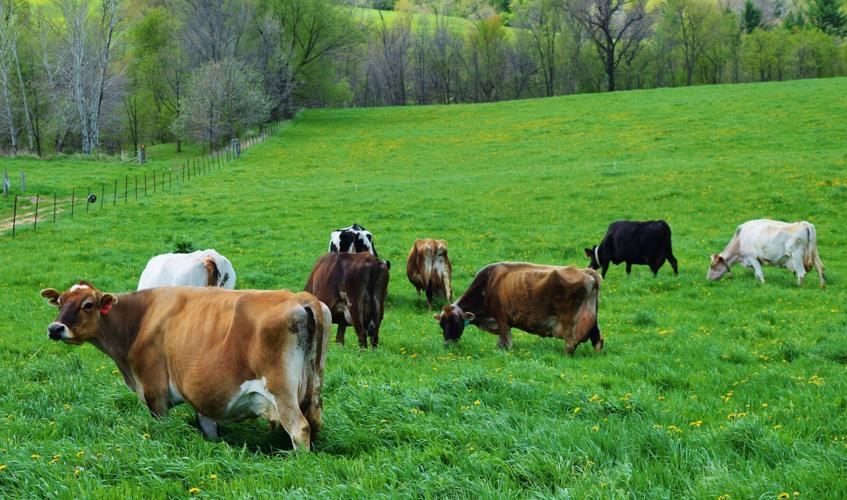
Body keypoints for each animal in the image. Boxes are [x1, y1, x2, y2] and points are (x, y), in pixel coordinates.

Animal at [40, 281, 330, 451]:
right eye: (60, 302)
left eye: (88, 304)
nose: (55, 328)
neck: (141, 319)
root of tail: (302, 298)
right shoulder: (204, 396)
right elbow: (209, 427)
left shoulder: (154, 392)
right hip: (314, 386)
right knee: (314, 422)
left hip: (281, 391)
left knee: (299, 428)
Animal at [434, 262, 603, 355]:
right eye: (442, 324)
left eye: (456, 323)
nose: (447, 345)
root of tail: (587, 272)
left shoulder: (501, 319)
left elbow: (506, 343)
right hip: (592, 319)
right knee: (598, 340)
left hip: (568, 320)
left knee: (570, 344)